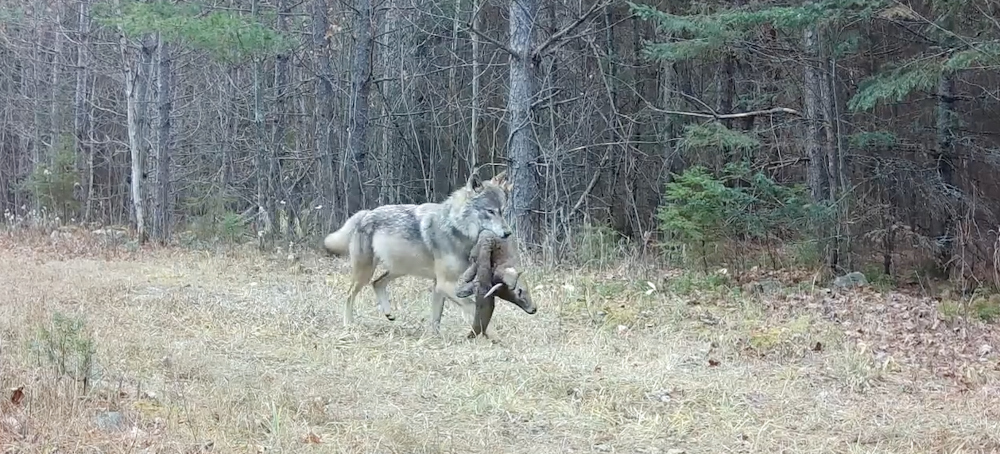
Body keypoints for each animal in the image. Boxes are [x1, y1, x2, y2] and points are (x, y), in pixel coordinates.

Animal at [322, 172, 513, 333]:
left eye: (503, 211)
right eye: (490, 211)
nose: (508, 233)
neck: (454, 226)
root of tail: (365, 213)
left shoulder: (439, 285)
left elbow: (436, 316)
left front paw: (434, 337)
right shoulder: (445, 283)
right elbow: (473, 307)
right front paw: (493, 335)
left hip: (398, 269)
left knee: (377, 283)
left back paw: (388, 313)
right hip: (366, 274)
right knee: (350, 294)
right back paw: (348, 324)